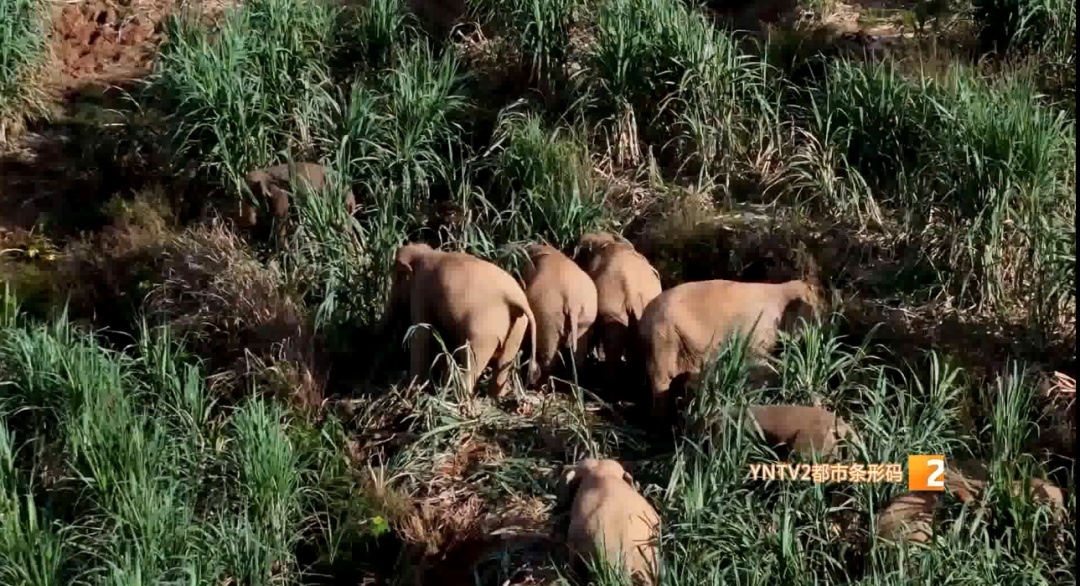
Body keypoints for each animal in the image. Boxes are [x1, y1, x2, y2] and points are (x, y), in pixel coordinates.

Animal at [387, 242, 538, 398]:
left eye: (396, 277)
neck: (425, 252)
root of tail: (515, 298)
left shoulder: (420, 291)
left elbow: (420, 335)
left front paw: (412, 392)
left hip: (483, 332)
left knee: (472, 363)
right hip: (517, 328)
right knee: (503, 365)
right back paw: (495, 399)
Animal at [520, 243, 598, 387]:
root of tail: (572, 301)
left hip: (548, 317)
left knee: (548, 357)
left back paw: (540, 386)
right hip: (586, 316)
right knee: (578, 353)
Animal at [637, 278, 823, 421]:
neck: (783, 288)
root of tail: (644, 317)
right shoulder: (759, 330)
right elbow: (757, 361)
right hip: (664, 338)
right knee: (662, 378)